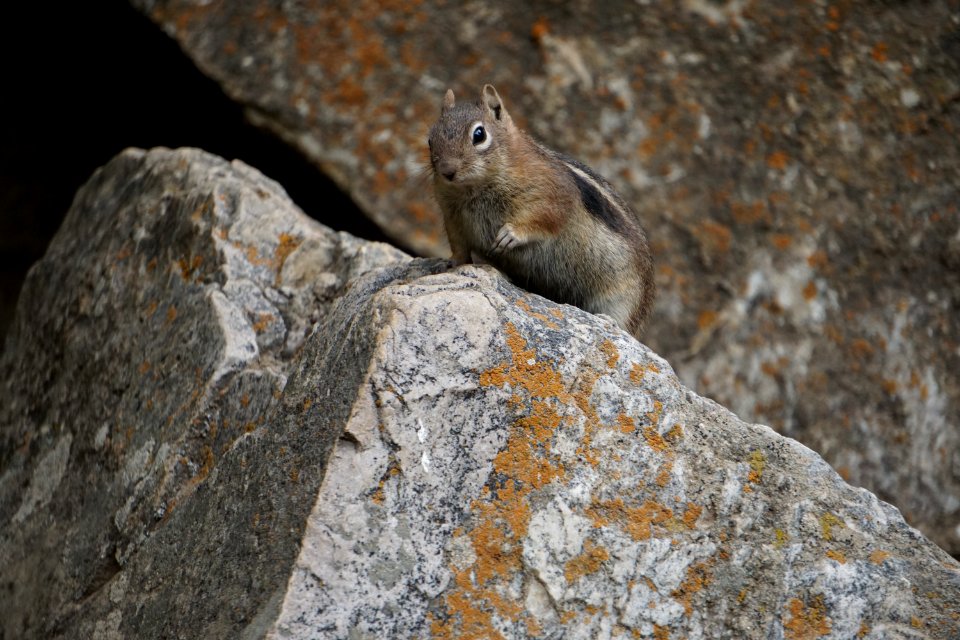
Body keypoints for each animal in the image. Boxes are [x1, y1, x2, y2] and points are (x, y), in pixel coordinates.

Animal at [432, 85, 656, 340]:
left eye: (479, 135)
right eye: (430, 138)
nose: (447, 171)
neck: (474, 188)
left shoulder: (552, 196)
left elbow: (546, 219)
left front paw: (511, 234)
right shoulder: (452, 216)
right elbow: (459, 246)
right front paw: (449, 263)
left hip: (626, 296)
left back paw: (607, 321)